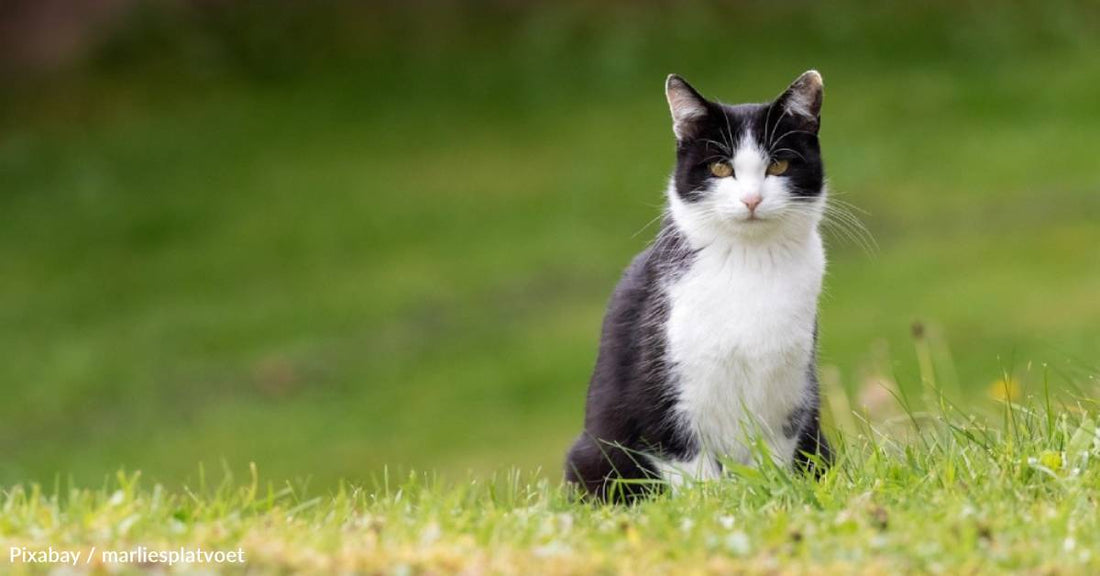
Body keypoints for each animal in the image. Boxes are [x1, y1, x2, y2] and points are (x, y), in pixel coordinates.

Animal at [567, 69, 831, 501]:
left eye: (779, 165)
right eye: (721, 169)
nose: (752, 199)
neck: (748, 264)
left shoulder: (789, 390)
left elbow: (774, 456)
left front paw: (772, 495)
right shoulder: (662, 393)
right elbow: (692, 468)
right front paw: (715, 505)